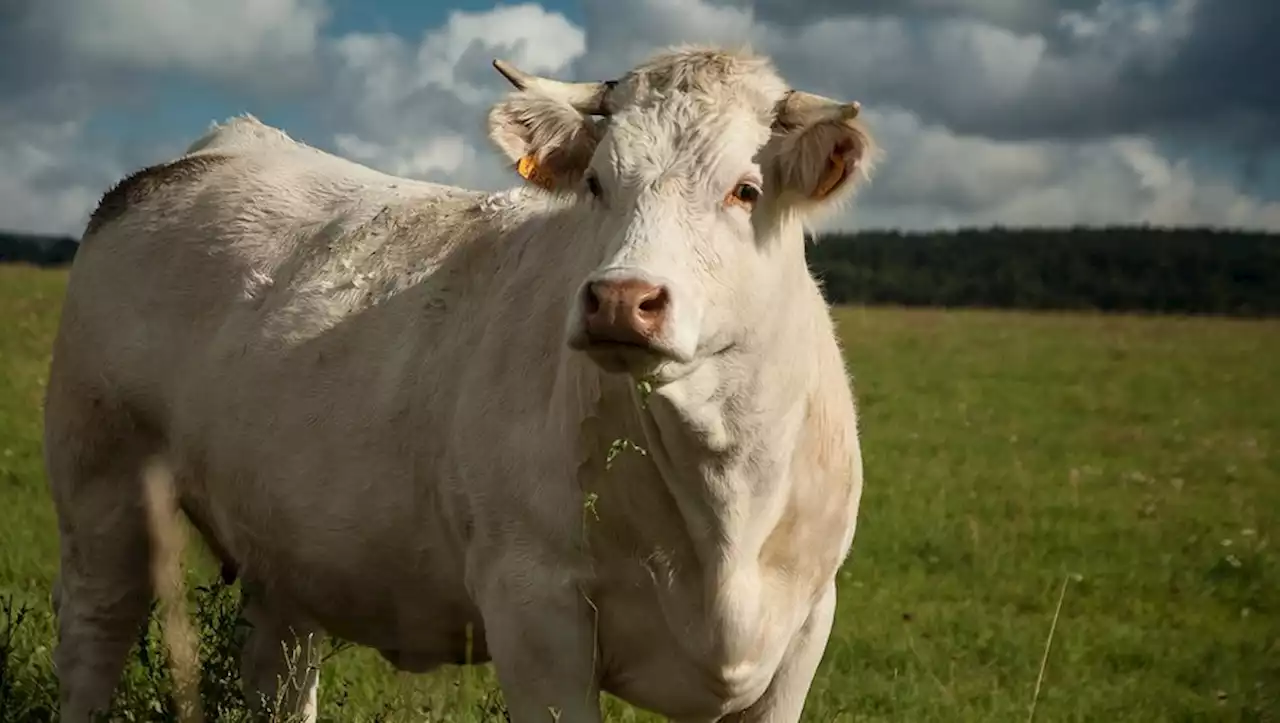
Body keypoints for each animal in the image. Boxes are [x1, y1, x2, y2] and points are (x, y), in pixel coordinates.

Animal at [45, 46, 875, 721]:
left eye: (745, 190)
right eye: (597, 183)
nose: (619, 299)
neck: (721, 504)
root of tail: (214, 149)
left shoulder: (807, 623)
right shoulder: (533, 607)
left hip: (283, 541)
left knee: (277, 670)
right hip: (103, 486)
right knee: (95, 636)